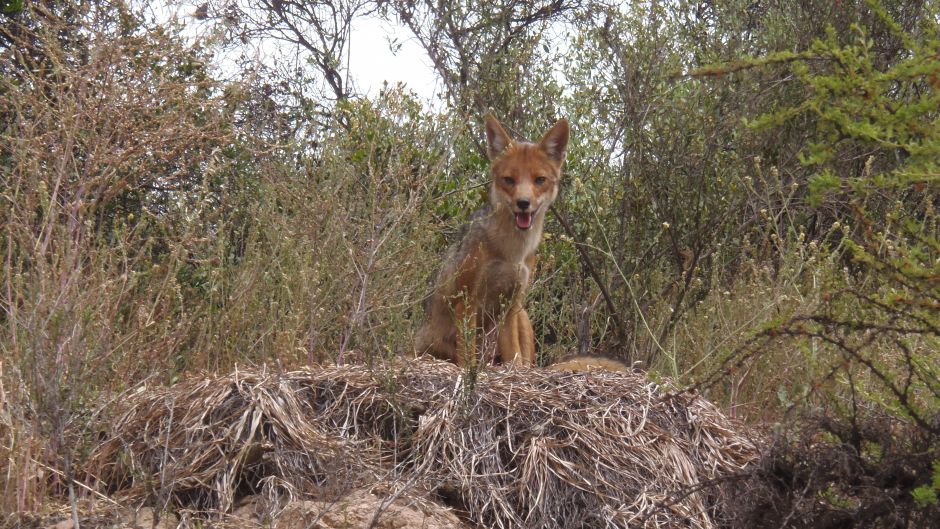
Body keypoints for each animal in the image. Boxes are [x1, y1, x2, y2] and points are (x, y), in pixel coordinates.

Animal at [414, 114, 568, 368]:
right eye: (509, 180)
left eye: (539, 180)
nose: (523, 203)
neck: (512, 252)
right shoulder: (467, 301)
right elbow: (467, 358)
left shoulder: (511, 305)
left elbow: (515, 356)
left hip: (521, 315)